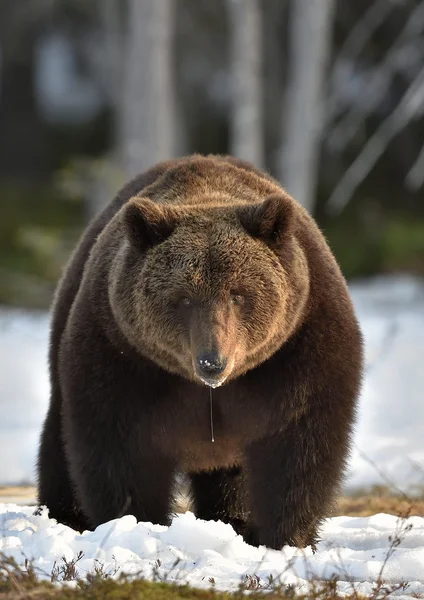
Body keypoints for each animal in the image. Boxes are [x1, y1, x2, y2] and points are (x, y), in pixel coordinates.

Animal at [36, 155, 362, 548]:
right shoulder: (120, 354)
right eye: (184, 298)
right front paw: (134, 524)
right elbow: (118, 448)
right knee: (58, 438)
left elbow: (299, 446)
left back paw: (232, 519)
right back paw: (66, 515)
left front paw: (285, 536)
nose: (212, 361)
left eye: (238, 293)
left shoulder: (299, 346)